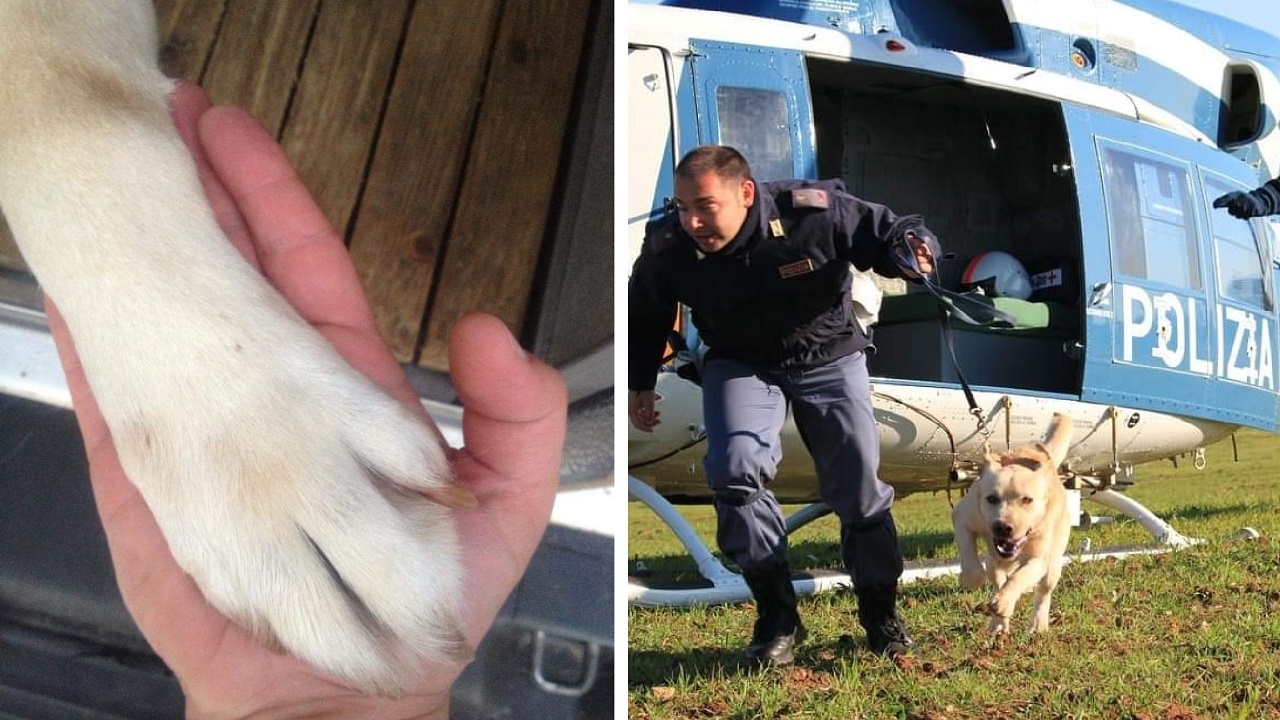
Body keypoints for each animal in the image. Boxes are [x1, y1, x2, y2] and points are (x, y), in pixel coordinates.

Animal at [957, 412, 1075, 635]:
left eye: (1027, 500)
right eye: (991, 499)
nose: (1002, 527)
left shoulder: (1039, 558)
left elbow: (1018, 578)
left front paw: (1004, 601)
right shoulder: (964, 518)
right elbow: (971, 562)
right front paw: (971, 580)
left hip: (1053, 566)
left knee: (1043, 592)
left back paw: (1038, 624)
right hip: (992, 561)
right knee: (997, 578)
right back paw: (997, 625)